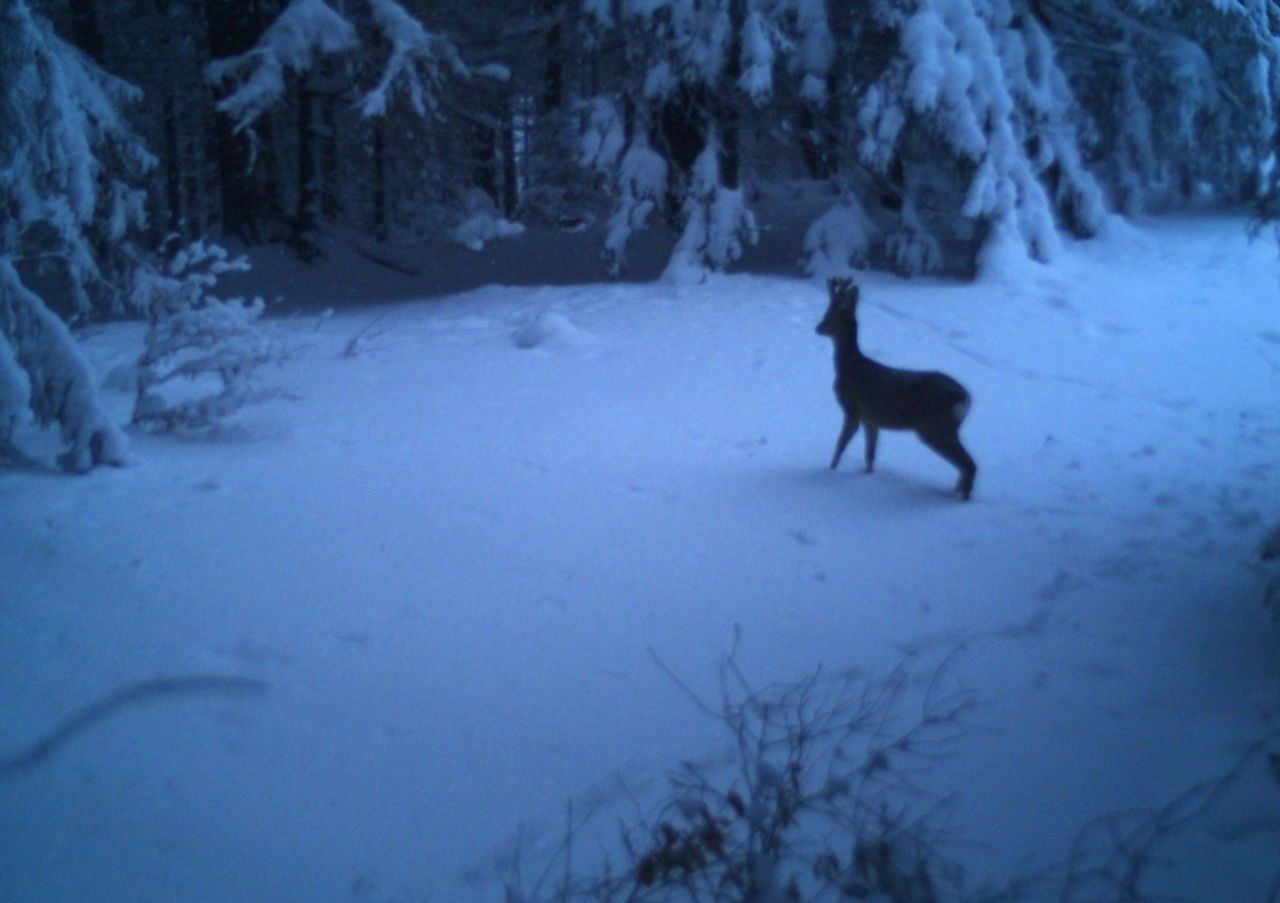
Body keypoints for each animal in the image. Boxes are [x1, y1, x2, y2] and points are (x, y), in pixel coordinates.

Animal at [814, 274, 972, 499]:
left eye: (831, 313)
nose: (818, 327)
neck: (850, 366)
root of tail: (965, 398)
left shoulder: (852, 409)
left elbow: (840, 445)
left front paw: (830, 471)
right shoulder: (871, 419)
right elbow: (870, 454)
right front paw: (867, 475)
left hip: (934, 427)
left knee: (969, 464)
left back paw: (962, 498)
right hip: (945, 428)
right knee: (964, 464)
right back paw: (955, 492)